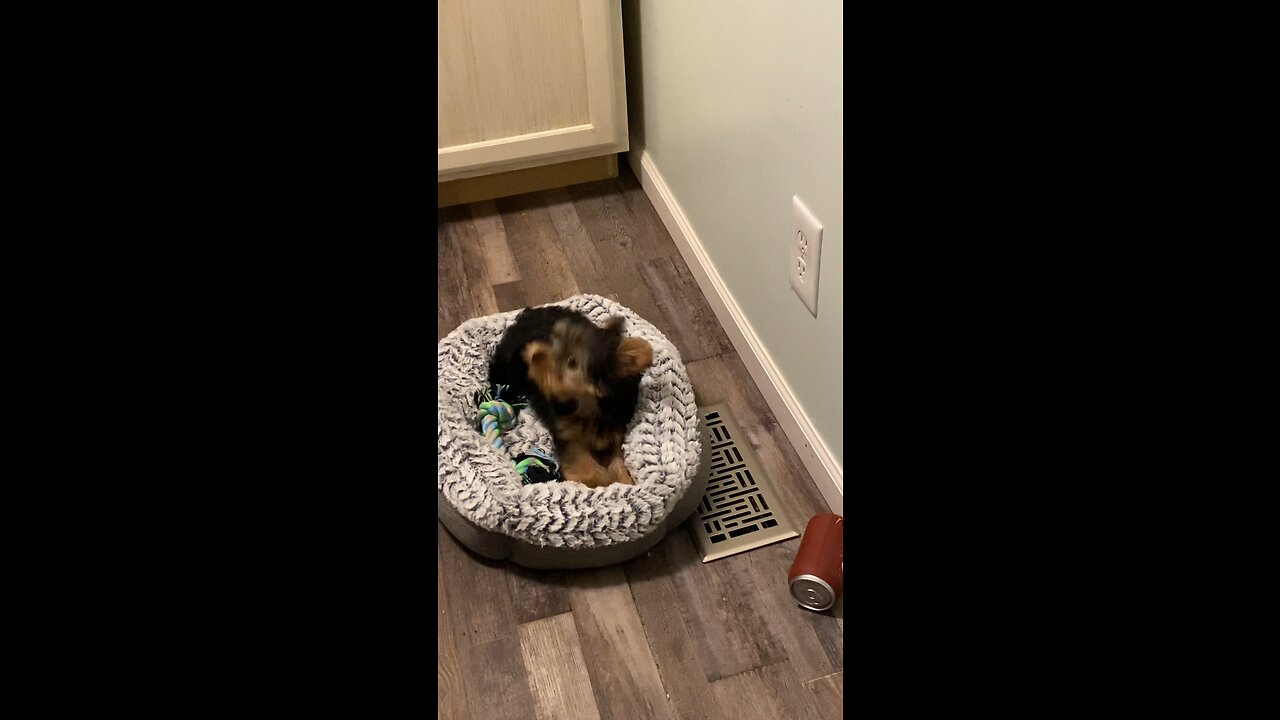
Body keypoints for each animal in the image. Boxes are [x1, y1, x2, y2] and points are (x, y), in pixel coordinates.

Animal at [486, 304, 655, 484]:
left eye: (571, 362)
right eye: (554, 341)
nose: (535, 355)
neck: (587, 405)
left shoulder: (615, 431)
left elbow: (617, 460)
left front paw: (624, 481)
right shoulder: (569, 438)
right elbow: (588, 469)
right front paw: (604, 480)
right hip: (505, 366)